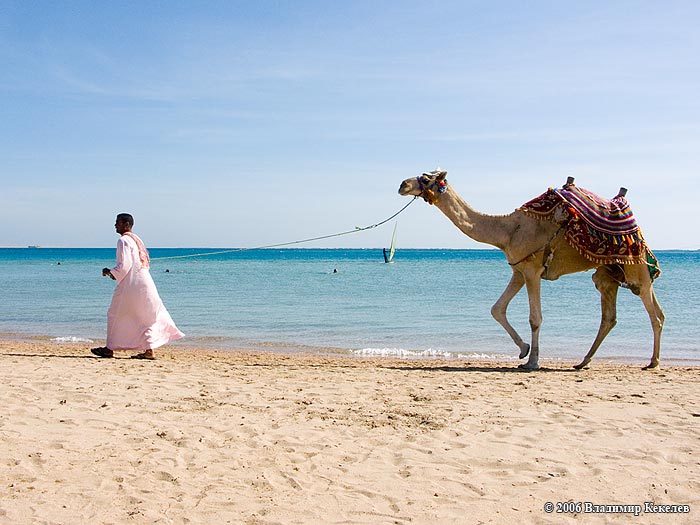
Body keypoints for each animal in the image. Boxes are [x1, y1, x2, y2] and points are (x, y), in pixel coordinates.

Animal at [396, 169, 664, 368]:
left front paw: (532, 361)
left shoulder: (533, 270)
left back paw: (653, 362)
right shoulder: (518, 269)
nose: (402, 184)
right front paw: (523, 350)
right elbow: (497, 309)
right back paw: (583, 362)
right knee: (609, 317)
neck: (506, 231)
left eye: (426, 178)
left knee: (656, 313)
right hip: (607, 273)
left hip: (636, 269)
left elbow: (535, 318)